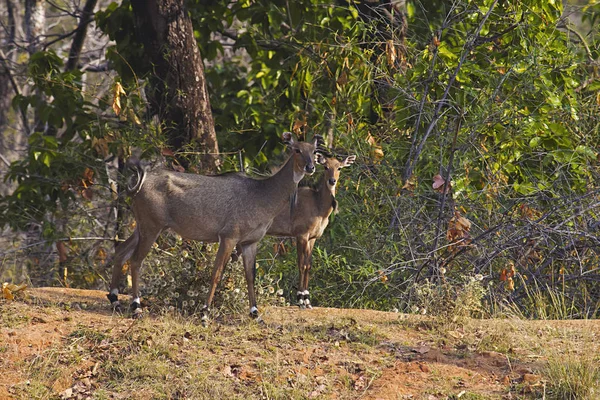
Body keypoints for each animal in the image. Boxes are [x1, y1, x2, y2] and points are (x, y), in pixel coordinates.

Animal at [108, 132, 324, 322]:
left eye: (313, 151)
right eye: (296, 150)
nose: (310, 167)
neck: (262, 194)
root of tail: (140, 184)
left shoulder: (250, 242)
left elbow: (250, 276)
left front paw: (256, 314)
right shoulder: (228, 237)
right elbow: (216, 273)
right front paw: (204, 314)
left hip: (142, 227)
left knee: (121, 251)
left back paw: (115, 300)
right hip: (151, 227)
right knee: (136, 260)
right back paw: (136, 307)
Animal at [264, 152, 354, 308]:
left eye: (339, 168)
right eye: (325, 166)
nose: (332, 181)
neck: (319, 206)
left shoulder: (312, 238)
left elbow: (309, 265)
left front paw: (307, 299)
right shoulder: (302, 235)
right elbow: (302, 264)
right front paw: (301, 299)